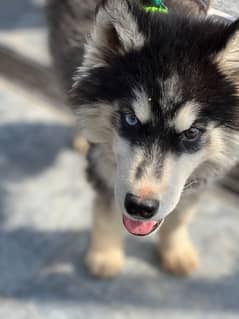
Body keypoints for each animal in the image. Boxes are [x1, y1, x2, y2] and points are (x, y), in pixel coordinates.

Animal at [47, 0, 239, 278]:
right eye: (131, 119)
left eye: (191, 132)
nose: (140, 206)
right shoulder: (104, 165)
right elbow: (106, 211)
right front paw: (105, 254)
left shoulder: (203, 176)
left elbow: (180, 216)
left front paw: (176, 250)